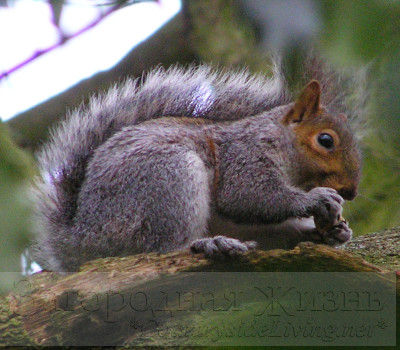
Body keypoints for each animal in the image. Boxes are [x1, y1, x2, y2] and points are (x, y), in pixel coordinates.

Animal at [32, 62, 362, 270]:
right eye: (325, 140)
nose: (350, 192)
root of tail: (83, 239)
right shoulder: (243, 157)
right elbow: (249, 197)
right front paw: (317, 198)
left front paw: (335, 232)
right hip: (167, 180)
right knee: (161, 249)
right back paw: (208, 244)